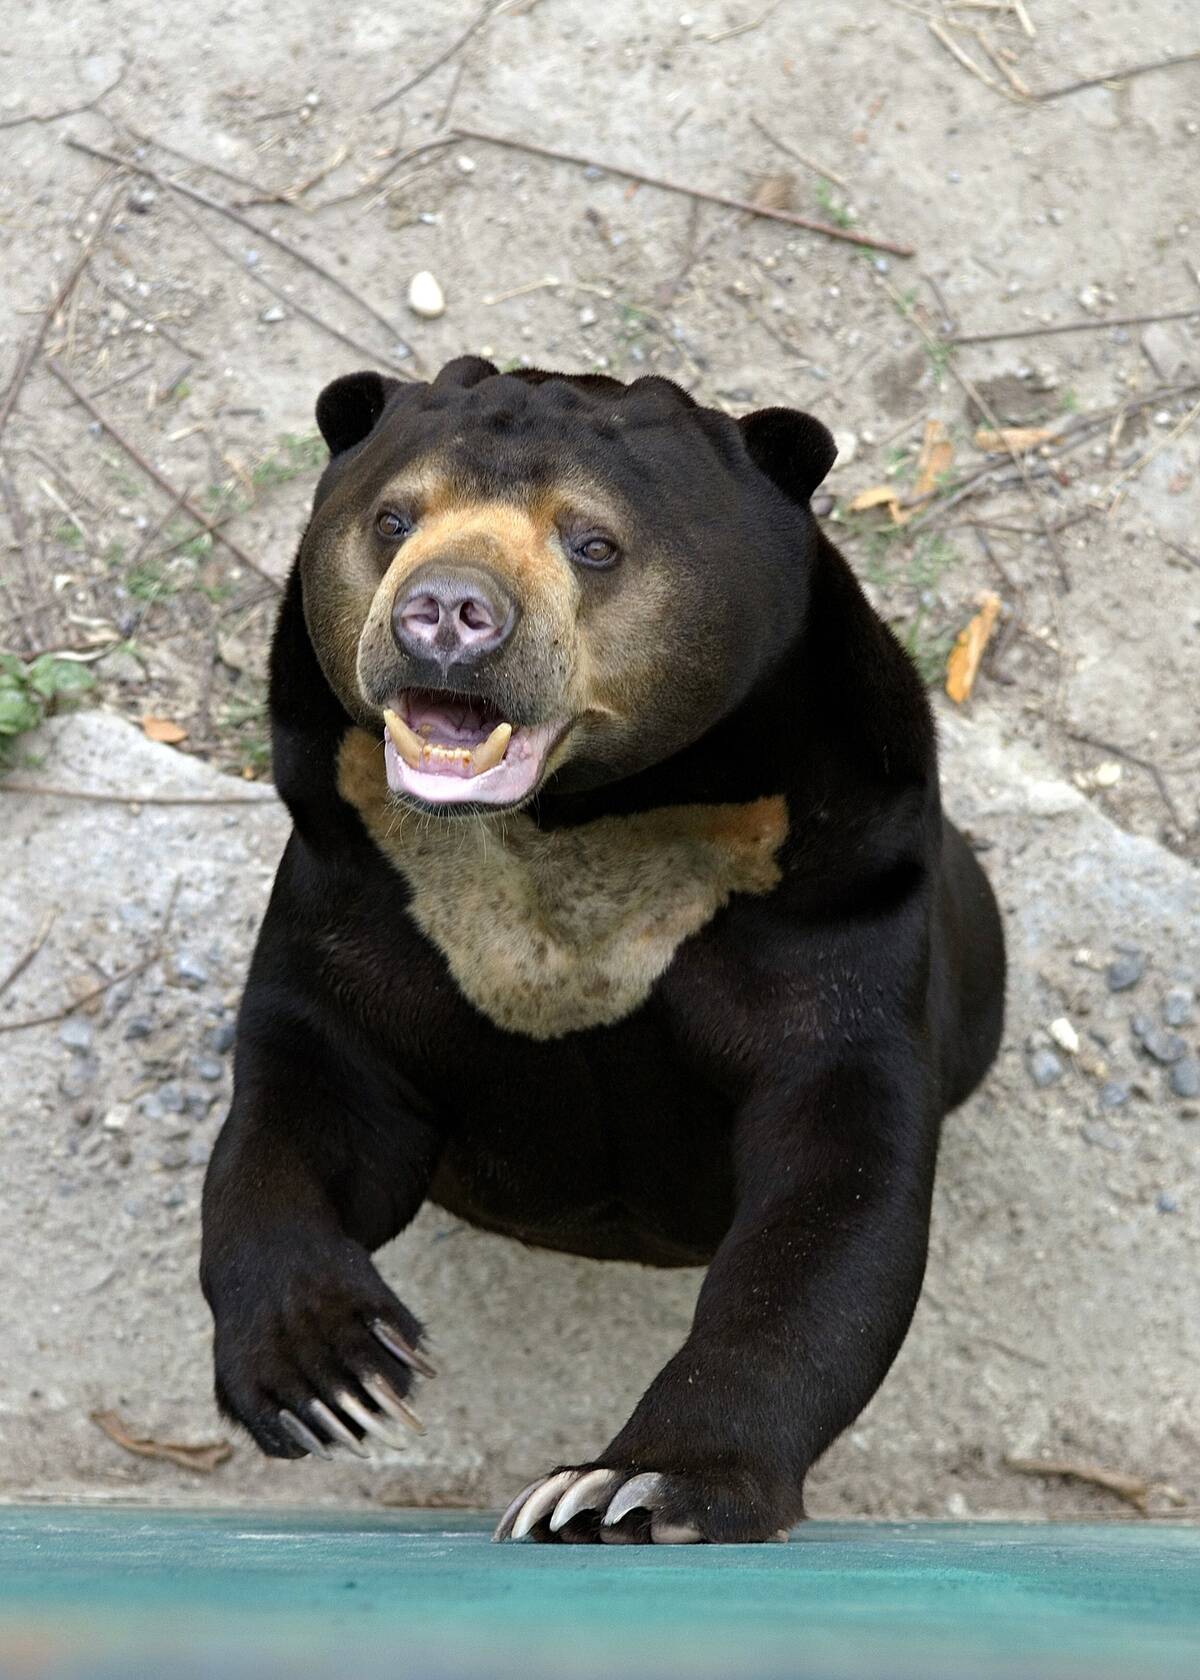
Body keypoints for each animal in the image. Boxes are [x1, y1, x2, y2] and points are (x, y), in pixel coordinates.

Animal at [200, 355, 1005, 1544]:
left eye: (593, 544)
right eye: (393, 520)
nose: (447, 612)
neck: (575, 829)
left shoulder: (837, 912)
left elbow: (835, 1193)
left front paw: (631, 1487)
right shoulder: (359, 897)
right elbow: (304, 1111)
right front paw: (331, 1374)